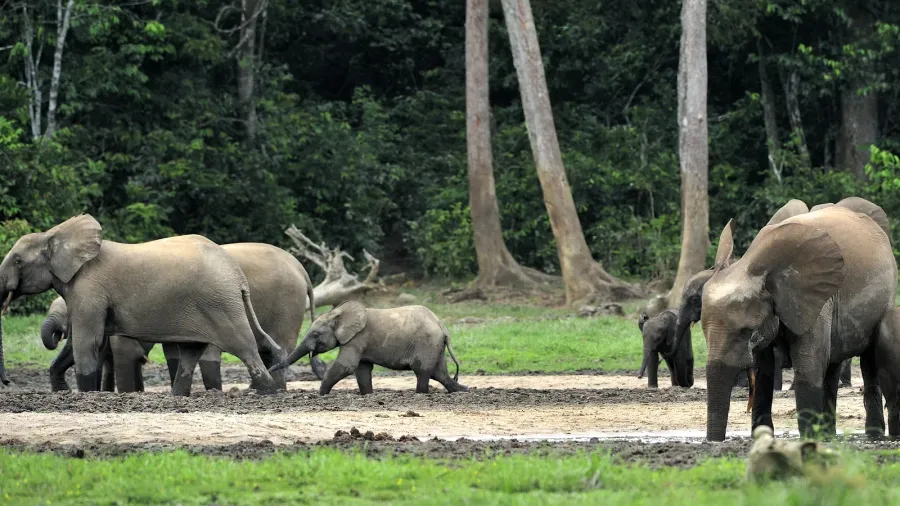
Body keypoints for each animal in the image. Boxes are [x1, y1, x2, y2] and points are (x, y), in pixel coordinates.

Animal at [0, 214, 285, 395]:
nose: (7, 383)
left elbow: (86, 341)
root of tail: (237, 275)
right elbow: (82, 343)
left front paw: (86, 395)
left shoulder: (89, 289)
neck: (53, 235)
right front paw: (65, 392)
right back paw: (178, 396)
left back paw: (268, 391)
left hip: (220, 303)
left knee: (244, 346)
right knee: (194, 350)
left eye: (17, 261)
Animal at [269, 301, 469, 395]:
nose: (270, 369)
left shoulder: (357, 339)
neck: (338, 314)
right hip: (435, 345)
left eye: (315, 334)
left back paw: (421, 393)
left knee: (423, 371)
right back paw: (464, 390)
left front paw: (321, 393)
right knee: (439, 373)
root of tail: (442, 326)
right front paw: (368, 394)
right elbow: (362, 370)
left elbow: (346, 366)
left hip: (426, 343)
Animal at [699, 203, 896, 441]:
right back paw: (829, 435)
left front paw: (809, 440)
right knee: (831, 366)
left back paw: (873, 435)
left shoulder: (817, 301)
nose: (713, 442)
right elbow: (764, 371)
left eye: (745, 331)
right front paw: (764, 437)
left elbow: (808, 369)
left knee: (868, 362)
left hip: (884, 299)